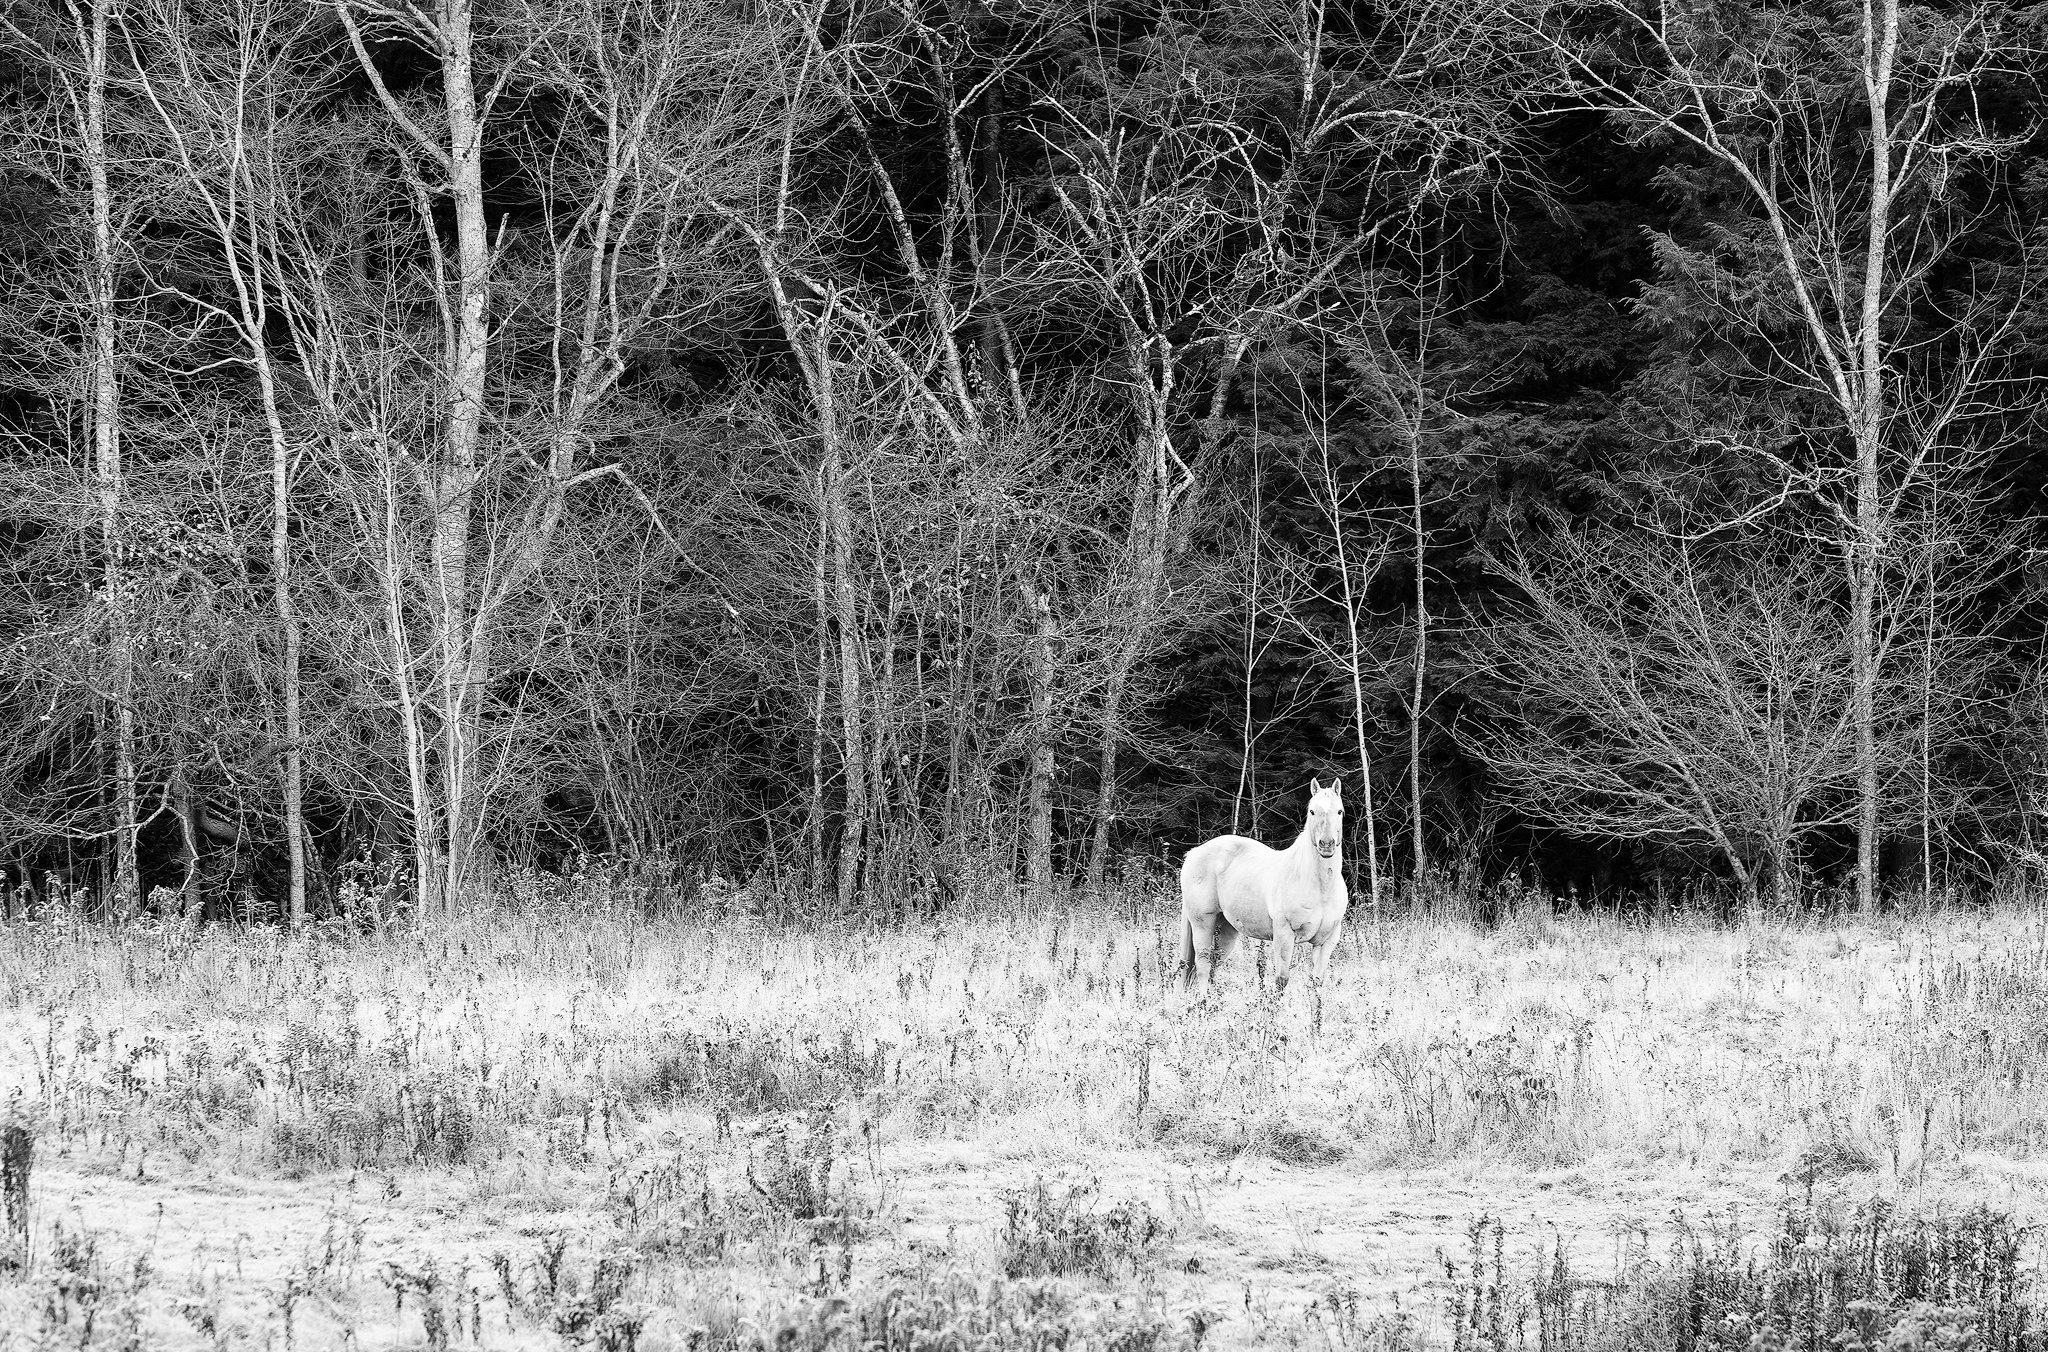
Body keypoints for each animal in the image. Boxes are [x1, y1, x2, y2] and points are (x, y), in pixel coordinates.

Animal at [1179, 782, 1351, 991]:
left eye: (1340, 811)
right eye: (1312, 811)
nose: (1326, 845)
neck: (1320, 888)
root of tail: (1194, 852)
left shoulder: (1327, 941)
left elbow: (1316, 982)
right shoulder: (1284, 935)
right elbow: (1281, 980)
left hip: (1226, 928)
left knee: (1212, 966)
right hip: (1203, 923)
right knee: (1203, 967)